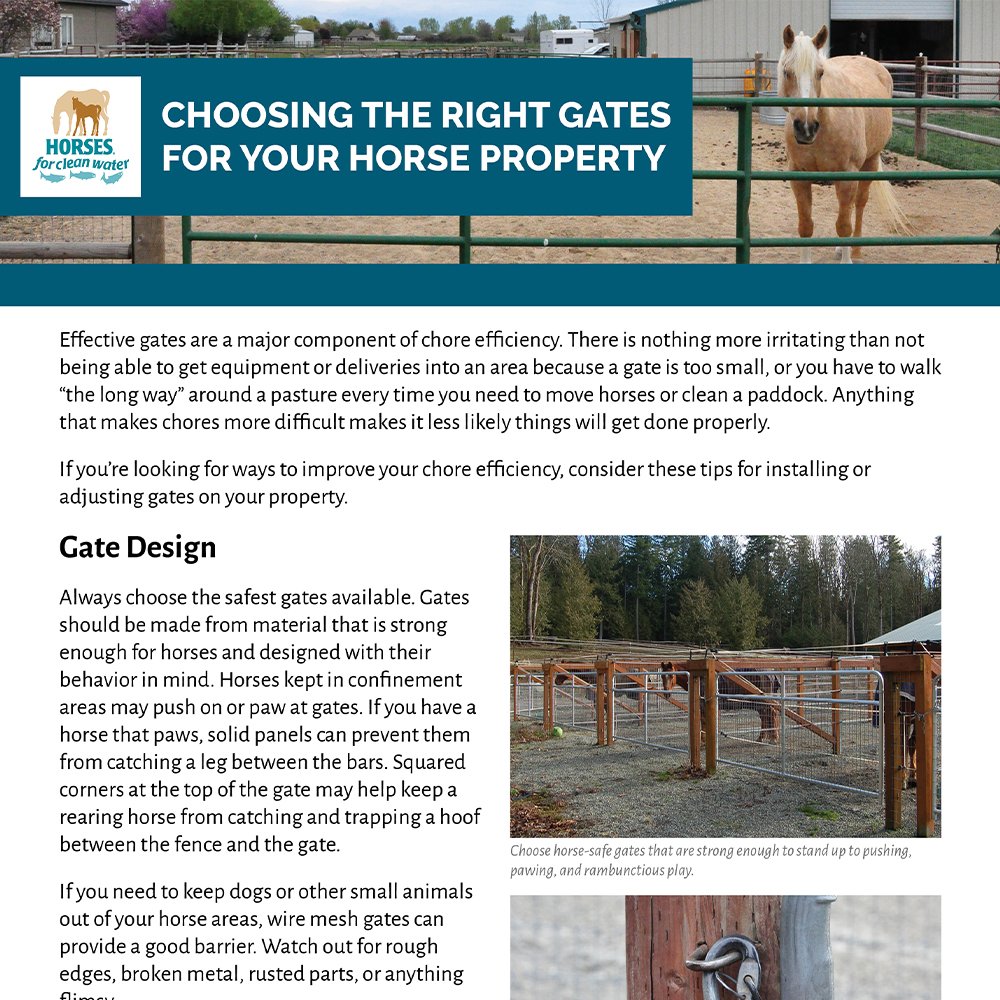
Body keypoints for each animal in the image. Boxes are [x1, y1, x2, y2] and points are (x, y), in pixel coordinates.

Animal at [778, 24, 908, 263]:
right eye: (786, 72)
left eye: (820, 73)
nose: (806, 127)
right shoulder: (799, 177)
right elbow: (805, 225)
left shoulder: (848, 177)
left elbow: (844, 225)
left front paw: (848, 258)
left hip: (870, 162)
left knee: (859, 204)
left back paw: (855, 251)